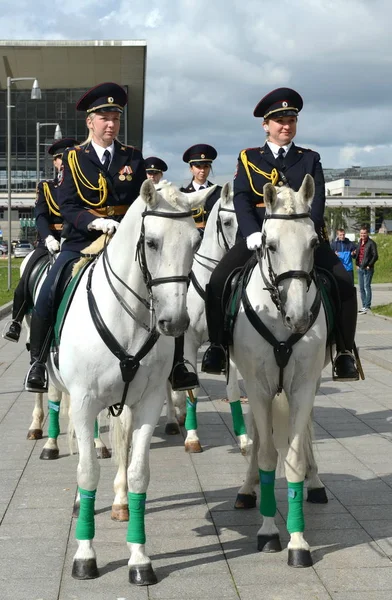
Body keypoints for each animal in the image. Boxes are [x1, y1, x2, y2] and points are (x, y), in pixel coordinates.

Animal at [47, 179, 213, 584]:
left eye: (195, 242)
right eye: (151, 242)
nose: (175, 321)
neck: (129, 316)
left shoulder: (148, 402)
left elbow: (138, 474)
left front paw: (139, 558)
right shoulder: (85, 402)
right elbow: (88, 471)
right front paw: (85, 556)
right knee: (80, 447)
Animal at [165, 184, 251, 454]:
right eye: (227, 221)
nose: (244, 252)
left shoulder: (227, 342)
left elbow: (232, 389)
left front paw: (244, 437)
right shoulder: (189, 341)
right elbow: (192, 388)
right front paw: (192, 437)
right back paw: (173, 420)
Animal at [231, 175, 330, 568]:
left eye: (314, 242)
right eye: (269, 244)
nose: (299, 317)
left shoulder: (303, 384)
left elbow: (295, 457)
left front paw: (298, 542)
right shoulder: (257, 386)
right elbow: (268, 456)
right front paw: (269, 532)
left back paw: (315, 484)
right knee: (260, 438)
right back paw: (247, 488)